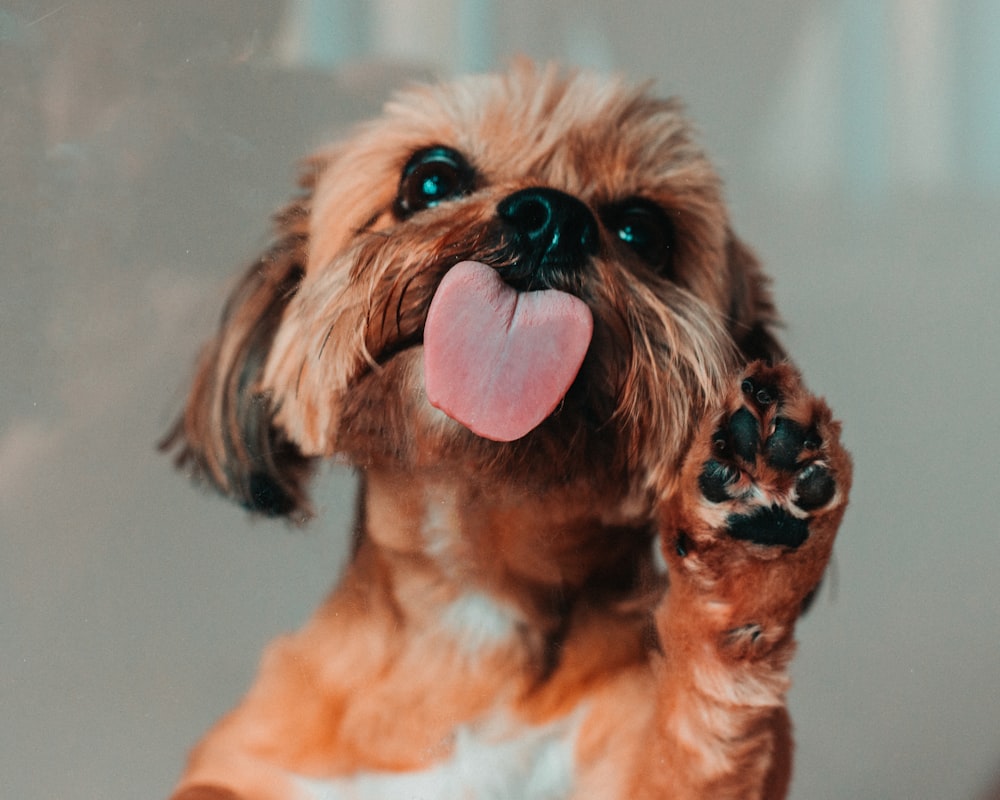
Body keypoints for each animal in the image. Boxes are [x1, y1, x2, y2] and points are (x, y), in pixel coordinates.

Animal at [164, 62, 852, 800]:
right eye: (430, 179)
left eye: (644, 231)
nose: (554, 216)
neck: (475, 594)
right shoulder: (250, 765)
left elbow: (699, 730)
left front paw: (754, 553)